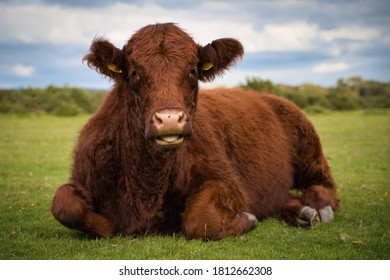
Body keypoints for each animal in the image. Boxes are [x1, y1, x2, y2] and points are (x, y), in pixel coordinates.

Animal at [51, 22, 338, 241]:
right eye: (134, 73)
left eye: (192, 71)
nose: (169, 119)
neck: (147, 184)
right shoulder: (85, 175)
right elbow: (64, 204)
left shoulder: (229, 182)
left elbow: (201, 219)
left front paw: (247, 218)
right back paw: (301, 212)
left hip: (310, 149)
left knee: (325, 186)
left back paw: (317, 207)